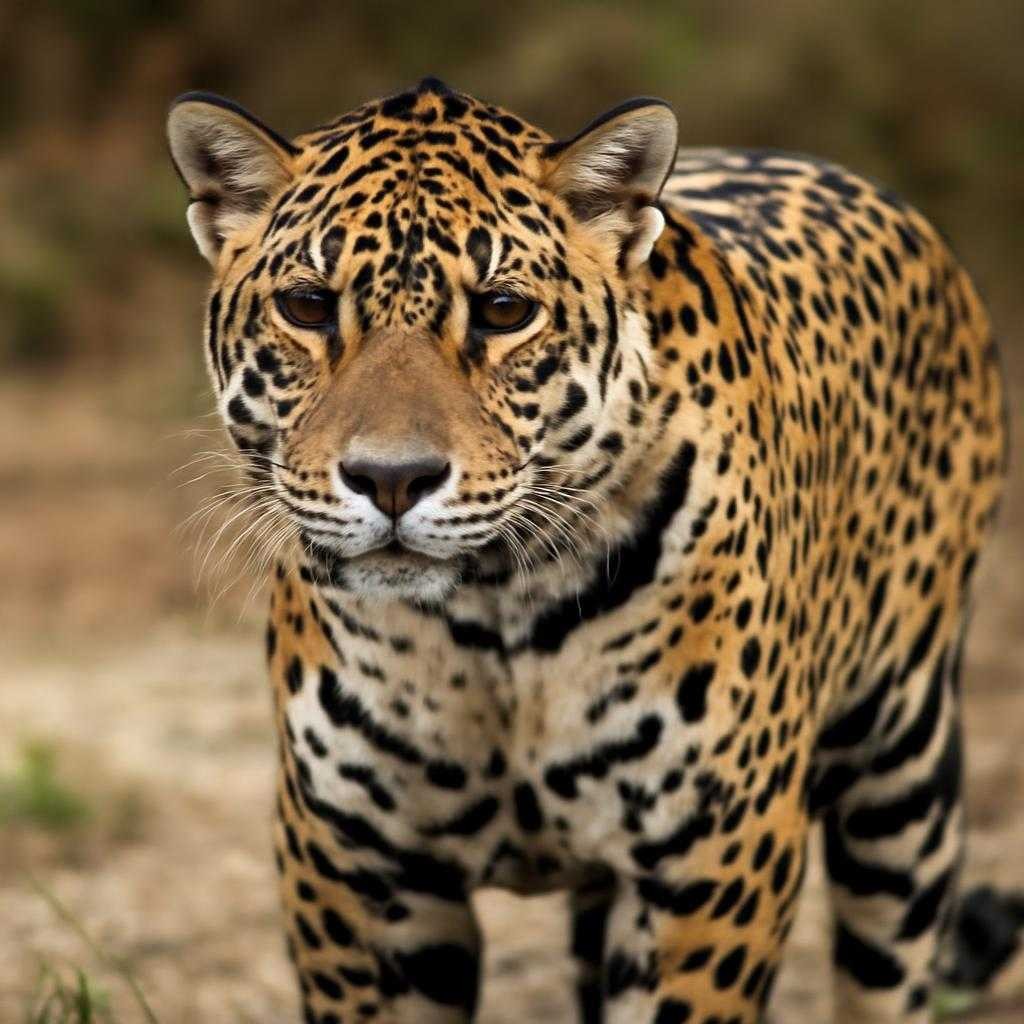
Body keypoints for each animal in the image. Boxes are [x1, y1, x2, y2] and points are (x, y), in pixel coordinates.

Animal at [166, 77, 1007, 1023]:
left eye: (504, 312)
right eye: (307, 307)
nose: (392, 479)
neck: (493, 613)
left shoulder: (716, 857)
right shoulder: (354, 862)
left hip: (903, 783)